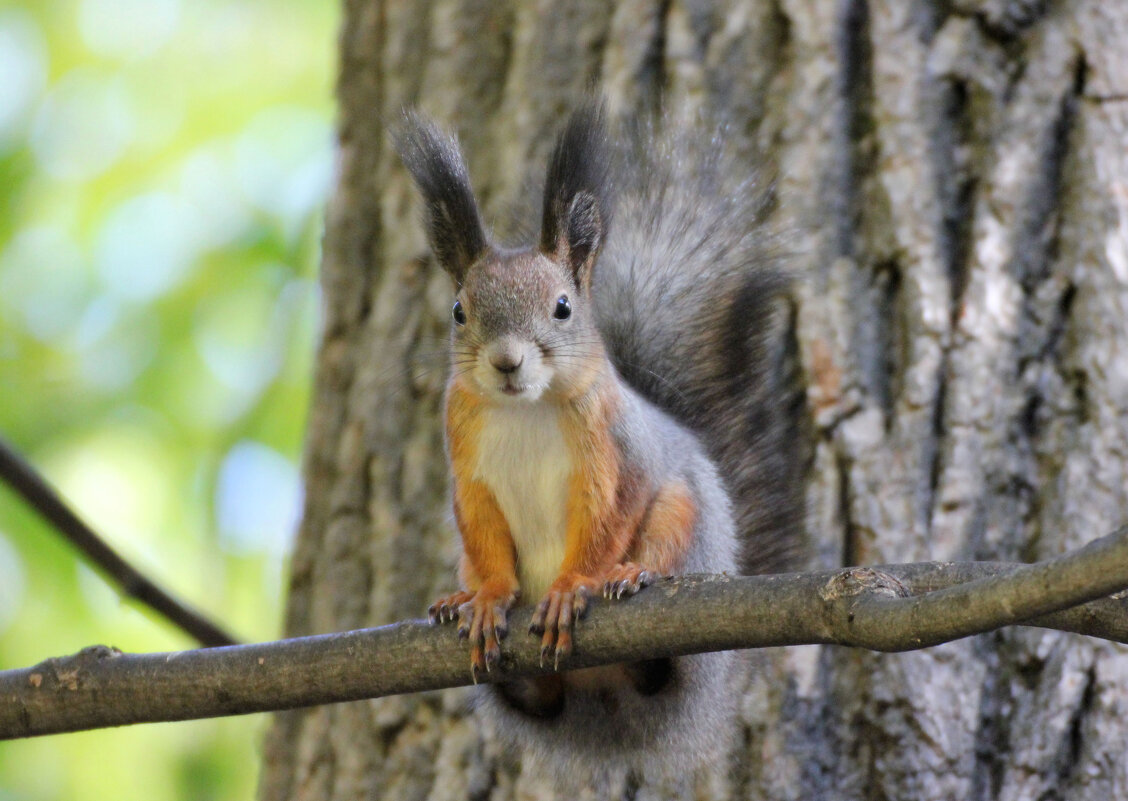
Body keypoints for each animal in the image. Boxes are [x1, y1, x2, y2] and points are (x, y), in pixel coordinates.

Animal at [397, 100, 803, 785]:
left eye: (563, 306)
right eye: (458, 311)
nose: (506, 362)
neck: (526, 408)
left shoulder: (614, 452)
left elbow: (610, 512)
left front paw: (572, 587)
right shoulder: (467, 465)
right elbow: (481, 528)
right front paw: (488, 597)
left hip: (684, 522)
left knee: (658, 641)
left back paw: (633, 582)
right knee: (541, 698)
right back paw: (471, 613)